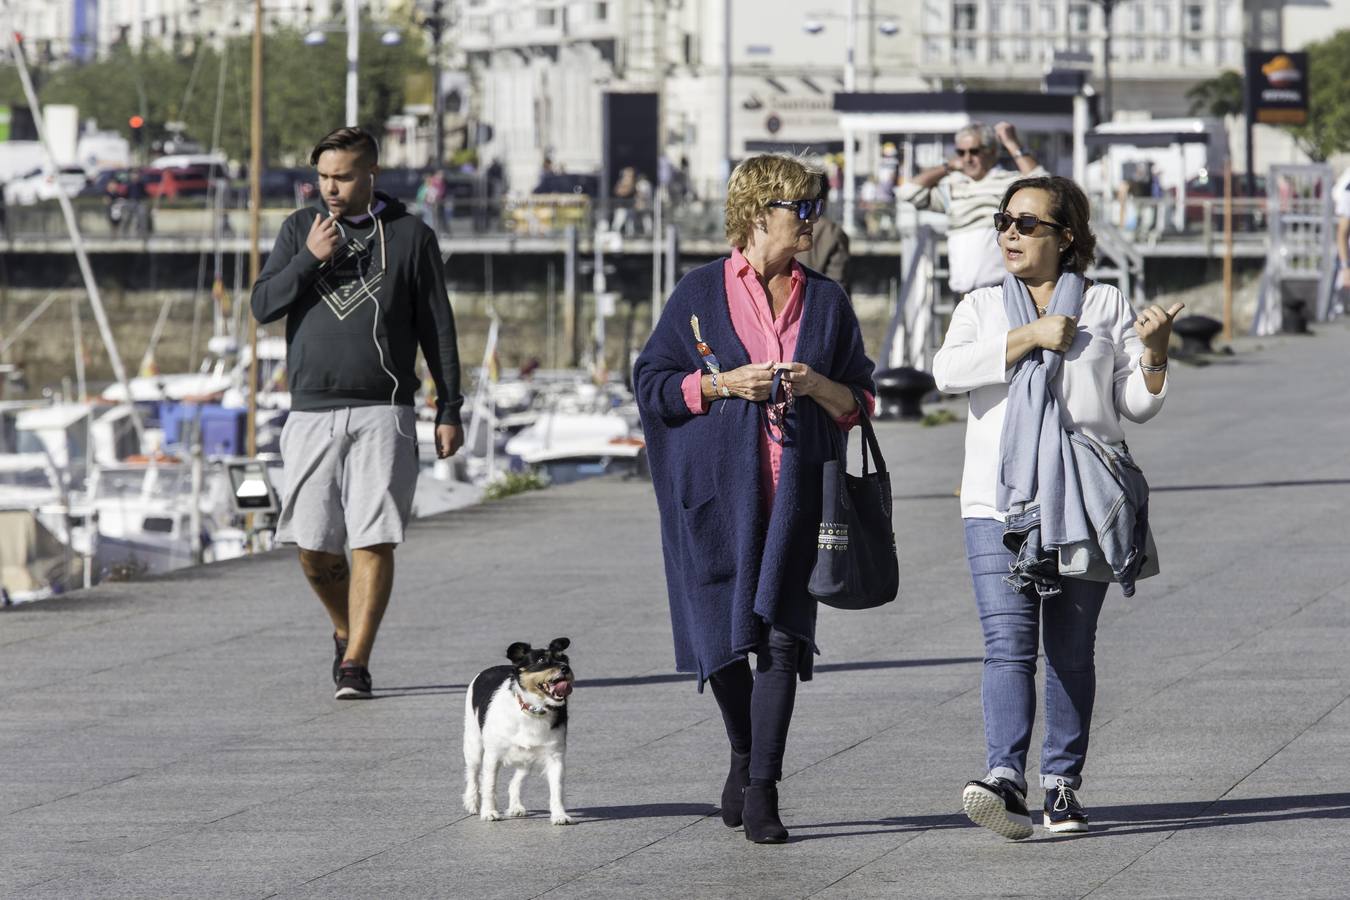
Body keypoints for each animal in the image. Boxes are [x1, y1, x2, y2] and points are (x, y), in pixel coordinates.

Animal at [464, 639, 575, 825]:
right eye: (541, 660)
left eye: (565, 659)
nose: (565, 668)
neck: (533, 711)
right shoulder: (492, 756)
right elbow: (489, 786)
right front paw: (489, 812)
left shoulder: (555, 757)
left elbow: (557, 790)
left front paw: (559, 815)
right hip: (474, 746)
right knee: (473, 775)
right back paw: (472, 803)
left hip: (527, 760)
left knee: (515, 782)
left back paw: (515, 807)